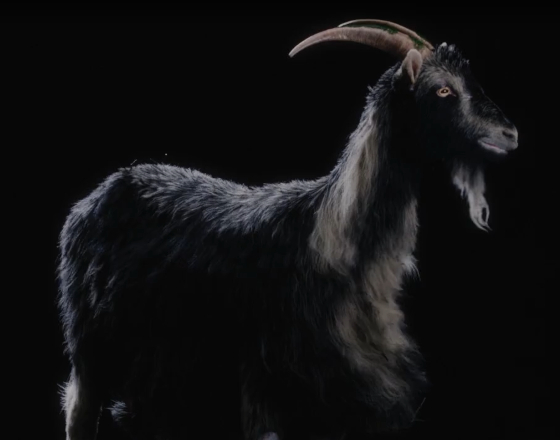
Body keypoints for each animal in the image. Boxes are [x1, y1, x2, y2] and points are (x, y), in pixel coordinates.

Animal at [57, 19, 518, 440]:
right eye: (443, 90)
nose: (510, 133)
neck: (336, 238)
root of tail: (100, 194)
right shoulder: (271, 385)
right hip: (91, 339)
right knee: (80, 407)